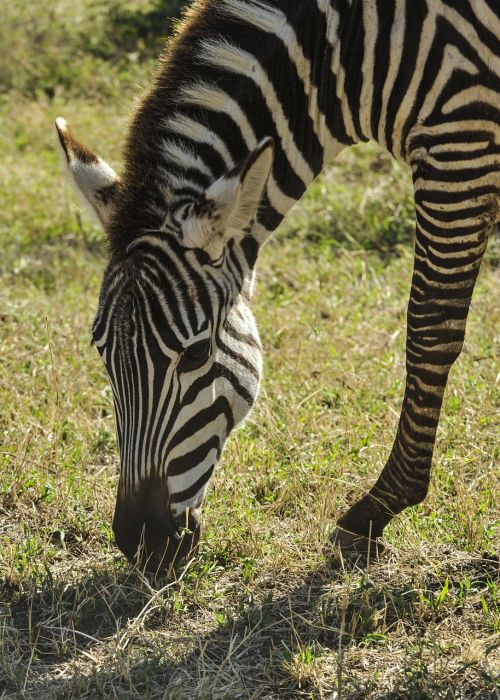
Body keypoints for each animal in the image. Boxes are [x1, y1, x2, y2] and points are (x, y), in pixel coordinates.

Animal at [55, 0, 500, 572]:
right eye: (102, 352)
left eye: (195, 354)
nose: (142, 544)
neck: (356, 48)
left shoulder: (459, 141)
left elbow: (430, 327)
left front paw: (378, 510)